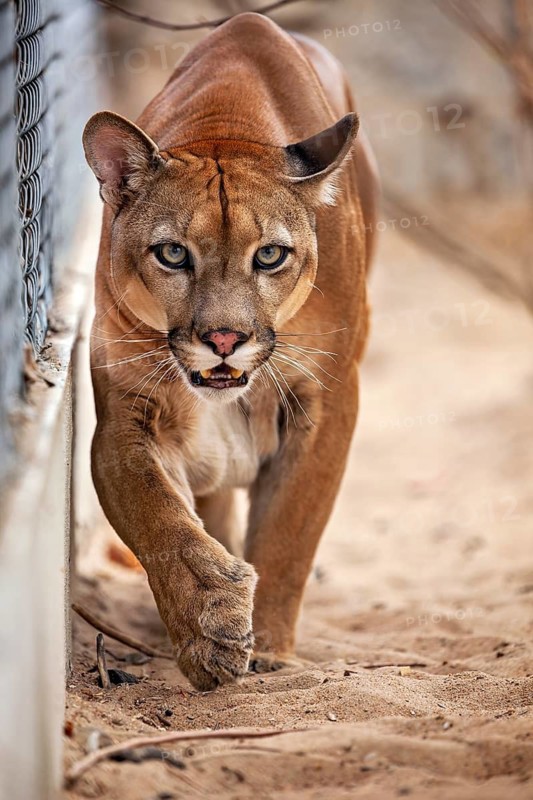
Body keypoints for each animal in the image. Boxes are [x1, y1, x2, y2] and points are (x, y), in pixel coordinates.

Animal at [83, 12, 378, 690]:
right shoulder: (124, 412)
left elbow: (290, 531)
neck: (227, 121)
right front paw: (211, 624)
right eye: (172, 253)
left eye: (269, 254)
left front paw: (269, 650)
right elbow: (155, 512)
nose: (223, 340)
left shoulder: (328, 399)